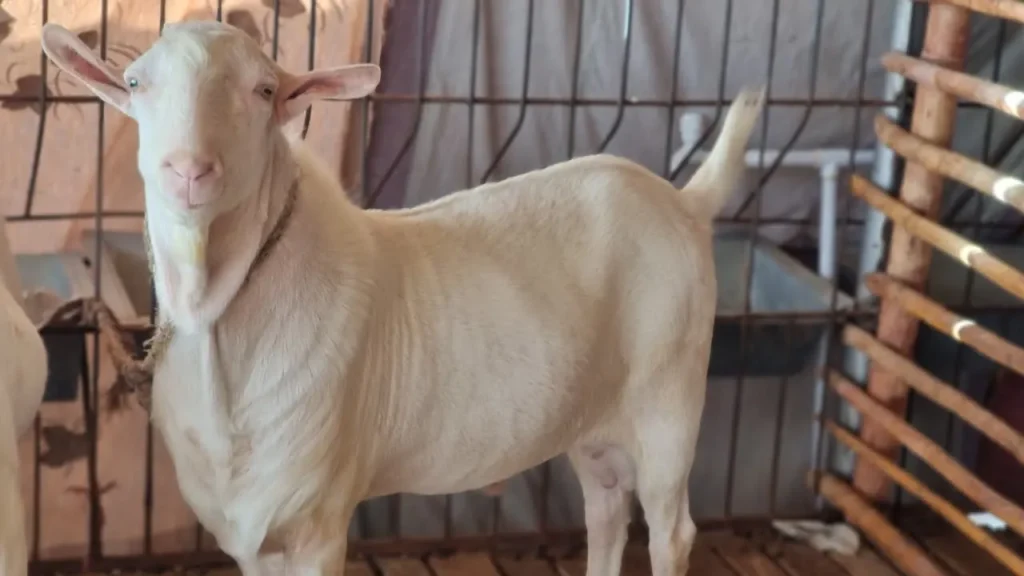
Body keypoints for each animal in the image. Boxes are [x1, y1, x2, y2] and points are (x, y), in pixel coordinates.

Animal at [41, 20, 764, 576]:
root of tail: (684, 203)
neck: (218, 314)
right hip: (593, 415)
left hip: (669, 395)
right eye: (136, 84)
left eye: (265, 90)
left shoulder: (315, 513)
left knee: (670, 528)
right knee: (609, 508)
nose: (189, 170)